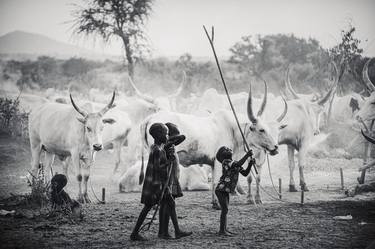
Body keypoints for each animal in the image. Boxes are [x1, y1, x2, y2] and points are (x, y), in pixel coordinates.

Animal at [140, 80, 286, 207]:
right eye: (261, 129)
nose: (275, 148)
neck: (232, 129)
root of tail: (149, 118)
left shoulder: (213, 163)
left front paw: (214, 202)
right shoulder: (219, 161)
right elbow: (216, 182)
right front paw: (218, 204)